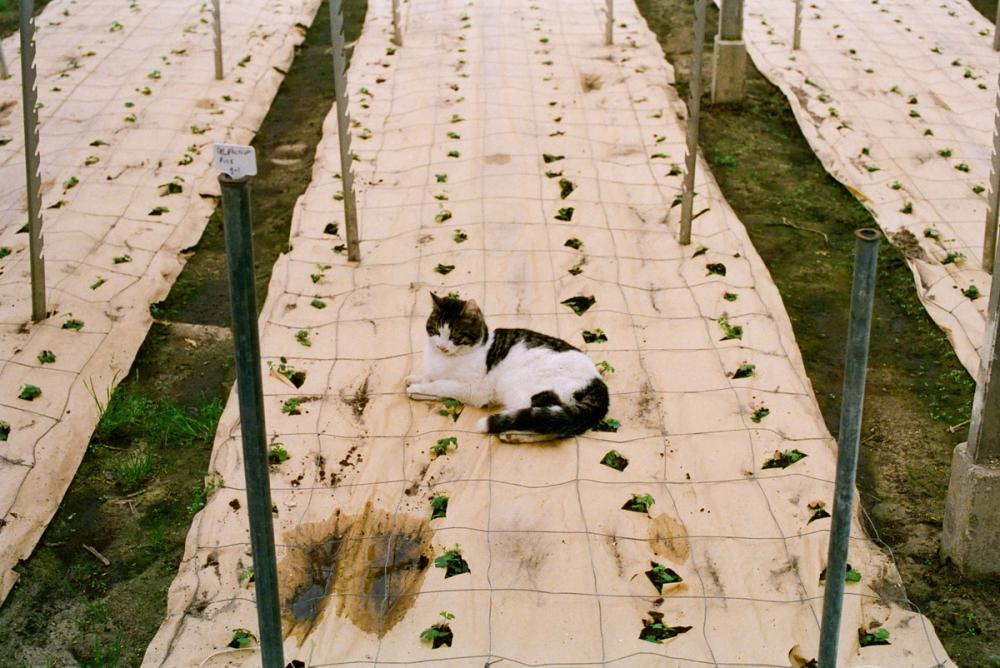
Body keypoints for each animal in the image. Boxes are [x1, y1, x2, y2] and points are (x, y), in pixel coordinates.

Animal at [404, 290, 608, 438]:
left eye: (454, 335)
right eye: (436, 331)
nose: (441, 346)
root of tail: (597, 380)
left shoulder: (475, 390)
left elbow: (442, 385)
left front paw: (418, 388)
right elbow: (432, 378)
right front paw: (416, 380)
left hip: (517, 381)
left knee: (547, 422)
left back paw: (513, 433)